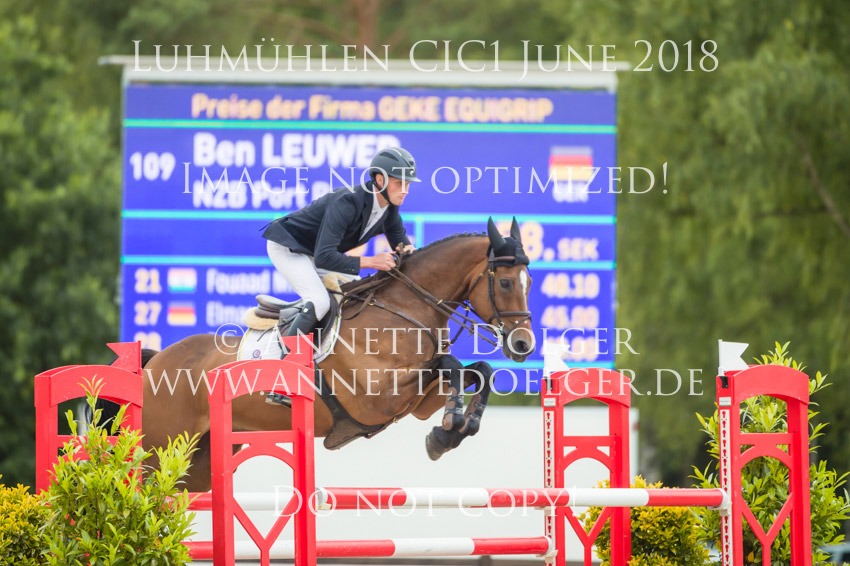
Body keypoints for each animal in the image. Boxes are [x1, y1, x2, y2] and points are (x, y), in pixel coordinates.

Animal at [136, 218, 535, 492]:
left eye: (528, 282)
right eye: (504, 282)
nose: (524, 345)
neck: (404, 308)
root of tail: (158, 361)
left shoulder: (418, 403)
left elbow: (479, 370)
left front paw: (451, 433)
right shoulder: (378, 398)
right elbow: (450, 365)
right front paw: (449, 427)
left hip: (198, 464)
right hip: (159, 452)